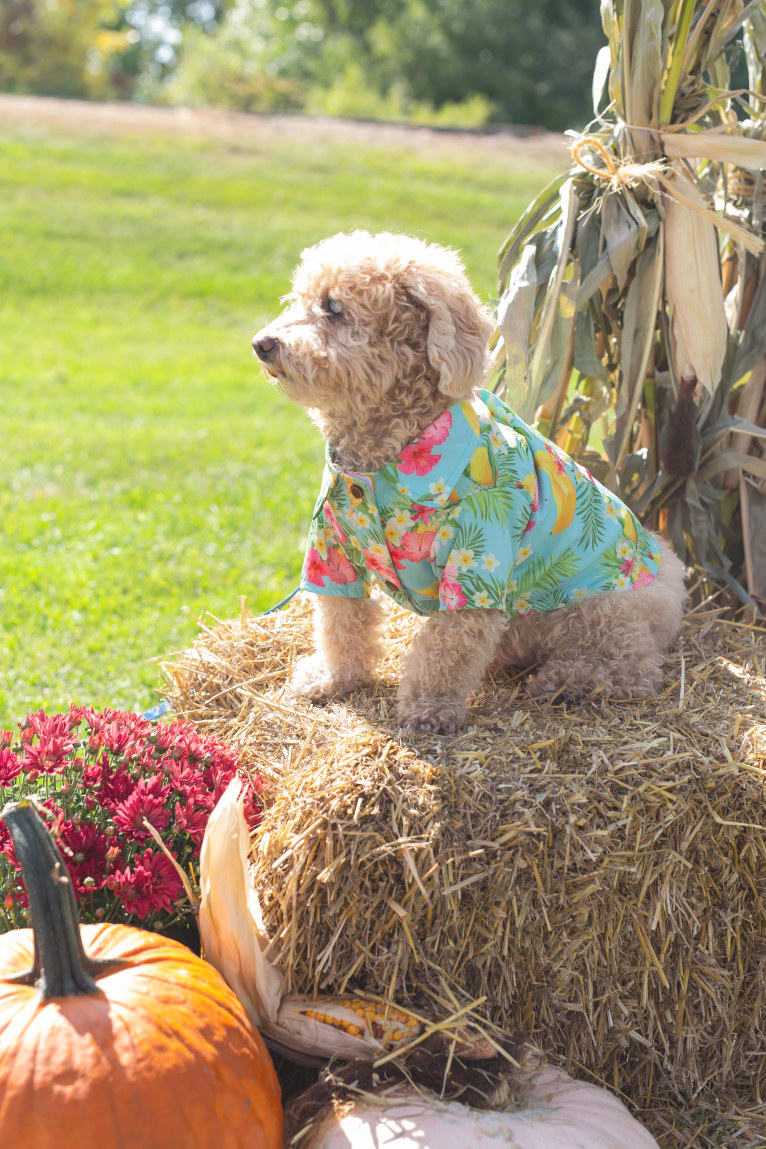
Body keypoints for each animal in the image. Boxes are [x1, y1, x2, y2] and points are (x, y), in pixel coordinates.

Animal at [252, 232, 689, 730]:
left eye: (334, 307)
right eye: (300, 299)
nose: (261, 343)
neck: (387, 450)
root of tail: (673, 582)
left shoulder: (478, 558)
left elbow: (446, 647)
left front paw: (429, 709)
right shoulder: (331, 549)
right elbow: (341, 622)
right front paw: (332, 679)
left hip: (601, 609)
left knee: (635, 669)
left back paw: (570, 681)